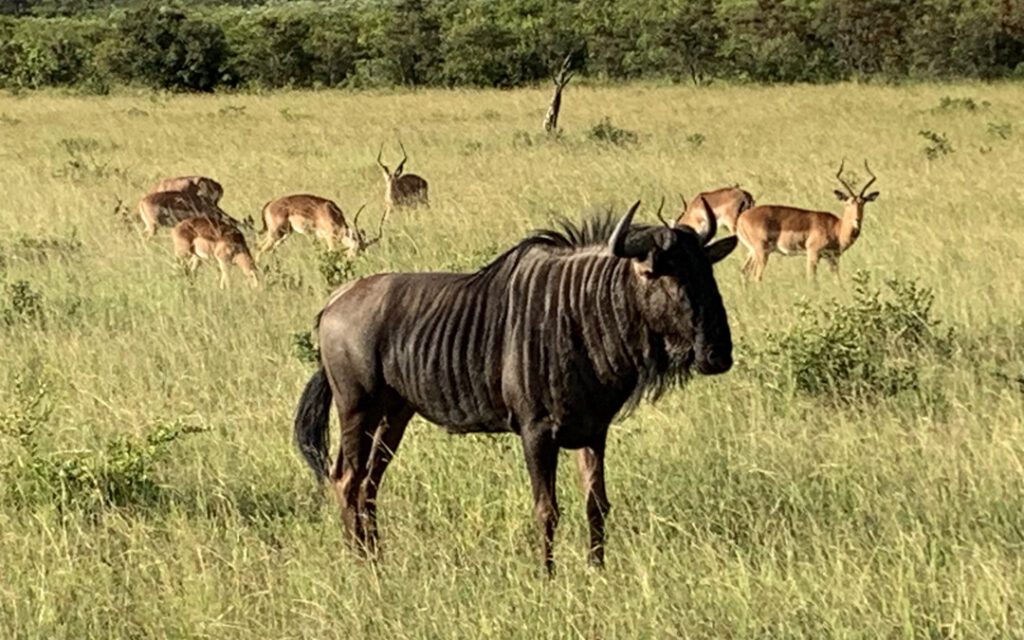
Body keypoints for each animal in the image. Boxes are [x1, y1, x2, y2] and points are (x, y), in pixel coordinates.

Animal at [735, 160, 879, 281]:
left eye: (863, 203)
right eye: (848, 203)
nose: (857, 220)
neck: (836, 228)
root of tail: (742, 217)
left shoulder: (833, 258)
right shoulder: (813, 254)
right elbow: (812, 279)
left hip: (753, 252)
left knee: (744, 272)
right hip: (761, 252)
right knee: (756, 277)